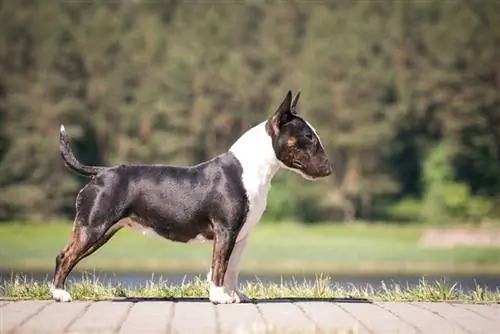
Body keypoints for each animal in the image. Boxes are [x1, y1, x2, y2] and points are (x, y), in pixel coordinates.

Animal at [50, 90, 332, 304]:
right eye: (308, 137)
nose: (329, 169)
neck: (252, 167)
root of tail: (101, 172)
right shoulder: (225, 230)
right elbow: (219, 266)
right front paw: (219, 297)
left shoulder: (241, 235)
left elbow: (233, 267)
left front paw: (236, 295)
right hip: (92, 227)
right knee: (65, 256)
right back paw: (59, 294)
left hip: (101, 231)